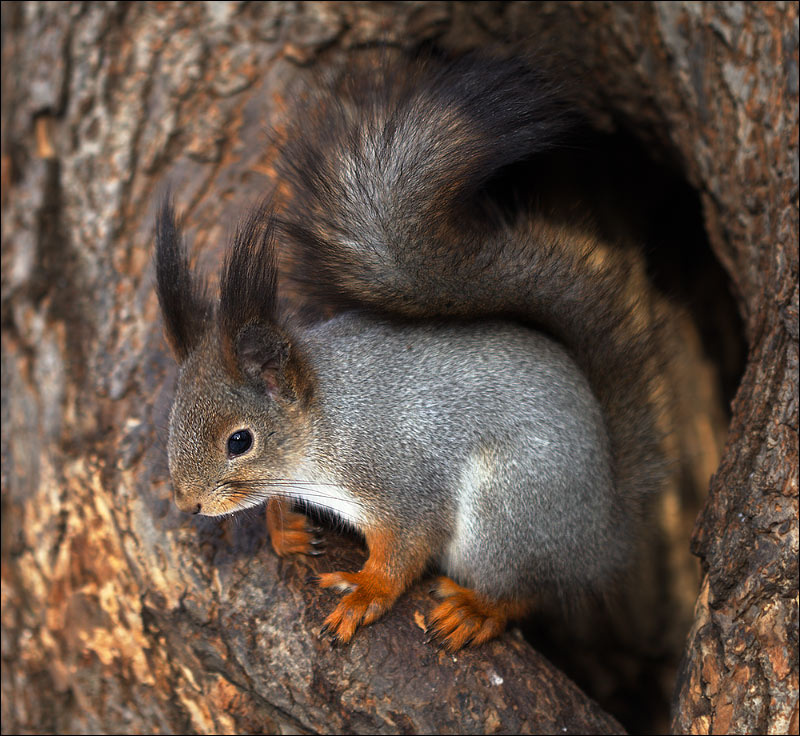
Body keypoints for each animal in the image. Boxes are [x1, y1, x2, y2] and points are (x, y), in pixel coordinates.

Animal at [155, 51, 669, 652]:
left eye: (240, 441)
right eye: (172, 419)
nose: (187, 503)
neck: (327, 421)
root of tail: (604, 536)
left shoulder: (400, 480)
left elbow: (405, 549)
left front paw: (365, 593)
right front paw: (284, 524)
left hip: (510, 513)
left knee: (527, 590)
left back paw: (477, 610)